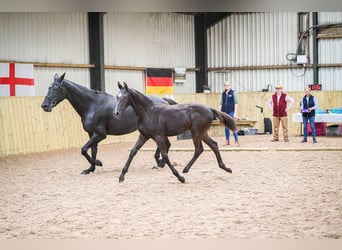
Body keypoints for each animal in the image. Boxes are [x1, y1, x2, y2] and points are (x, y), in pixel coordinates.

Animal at [41, 73, 172, 175]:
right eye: (49, 87)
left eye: (56, 87)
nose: (45, 106)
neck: (92, 105)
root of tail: (163, 100)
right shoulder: (92, 134)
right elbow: (92, 150)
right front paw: (90, 169)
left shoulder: (100, 134)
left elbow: (84, 149)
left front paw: (98, 163)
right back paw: (160, 163)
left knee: (166, 144)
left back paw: (160, 163)